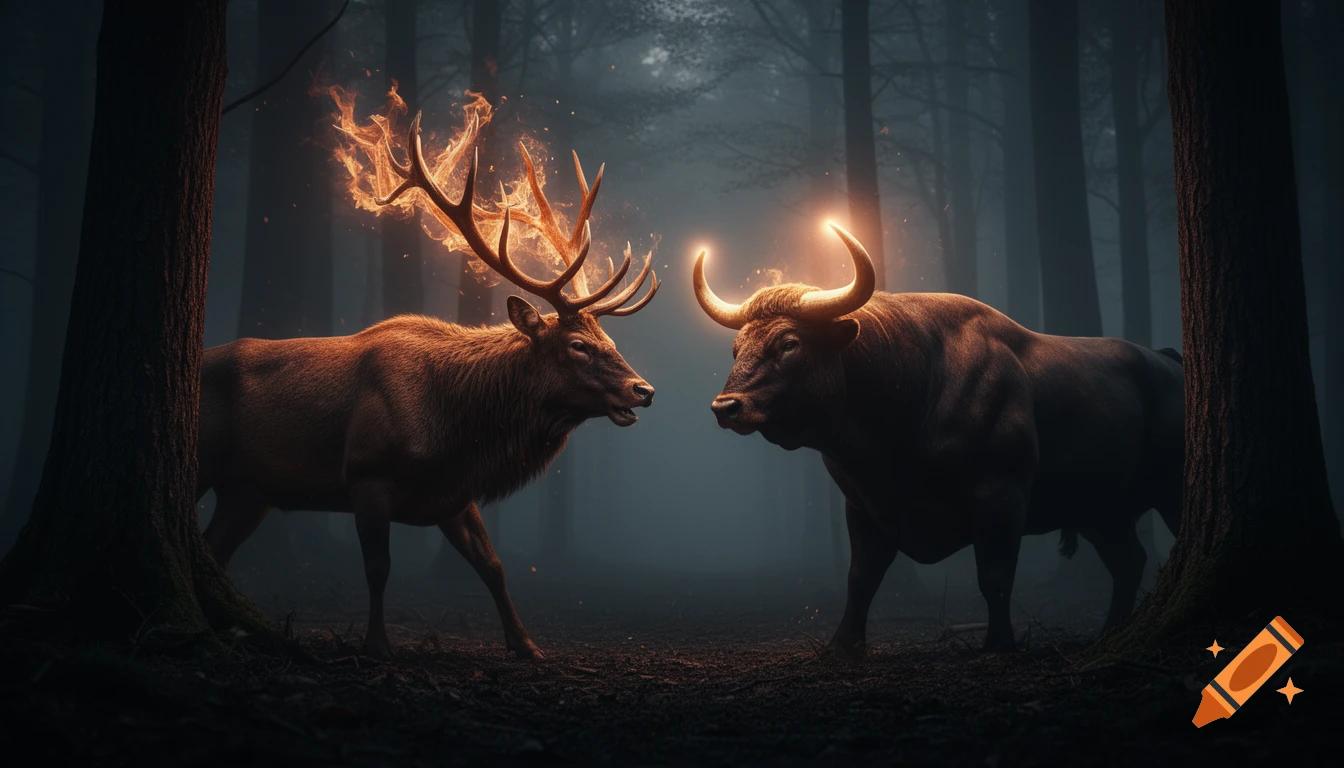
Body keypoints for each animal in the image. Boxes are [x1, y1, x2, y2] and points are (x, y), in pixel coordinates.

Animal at [197, 112, 660, 660]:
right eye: (578, 346)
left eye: (608, 339)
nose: (644, 390)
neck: (456, 430)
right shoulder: (367, 473)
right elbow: (378, 569)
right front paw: (377, 644)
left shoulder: (454, 493)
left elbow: (494, 567)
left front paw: (526, 645)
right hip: (203, 461)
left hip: (247, 491)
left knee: (212, 551)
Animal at [693, 223, 1182, 656]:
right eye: (737, 348)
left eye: (789, 342)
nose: (725, 407)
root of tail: (1166, 361)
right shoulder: (864, 505)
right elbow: (861, 577)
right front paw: (841, 646)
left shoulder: (1000, 495)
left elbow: (995, 575)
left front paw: (998, 643)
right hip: (1102, 510)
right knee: (1129, 562)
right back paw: (1109, 633)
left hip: (1168, 493)